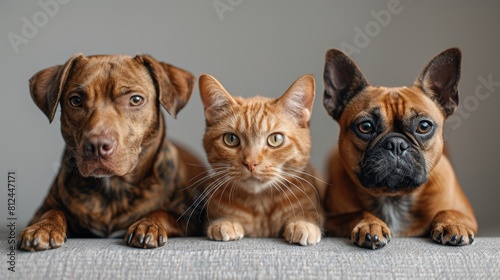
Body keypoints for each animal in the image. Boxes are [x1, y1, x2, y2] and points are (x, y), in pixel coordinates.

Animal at [17, 53, 205, 250]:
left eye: (136, 100)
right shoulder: (44, 208)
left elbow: (162, 212)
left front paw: (148, 225)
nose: (97, 145)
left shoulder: (189, 217)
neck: (113, 188)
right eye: (75, 101)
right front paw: (43, 227)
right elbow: (52, 211)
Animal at [195, 74, 324, 245]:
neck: (260, 204)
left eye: (276, 139)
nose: (251, 163)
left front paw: (302, 224)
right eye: (231, 139)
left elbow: (309, 214)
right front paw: (226, 222)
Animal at [322, 48, 478, 249]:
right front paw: (370, 224)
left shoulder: (468, 215)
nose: (396, 144)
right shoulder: (329, 220)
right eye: (365, 127)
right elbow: (356, 213)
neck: (393, 197)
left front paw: (453, 224)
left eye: (424, 126)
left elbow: (449, 211)